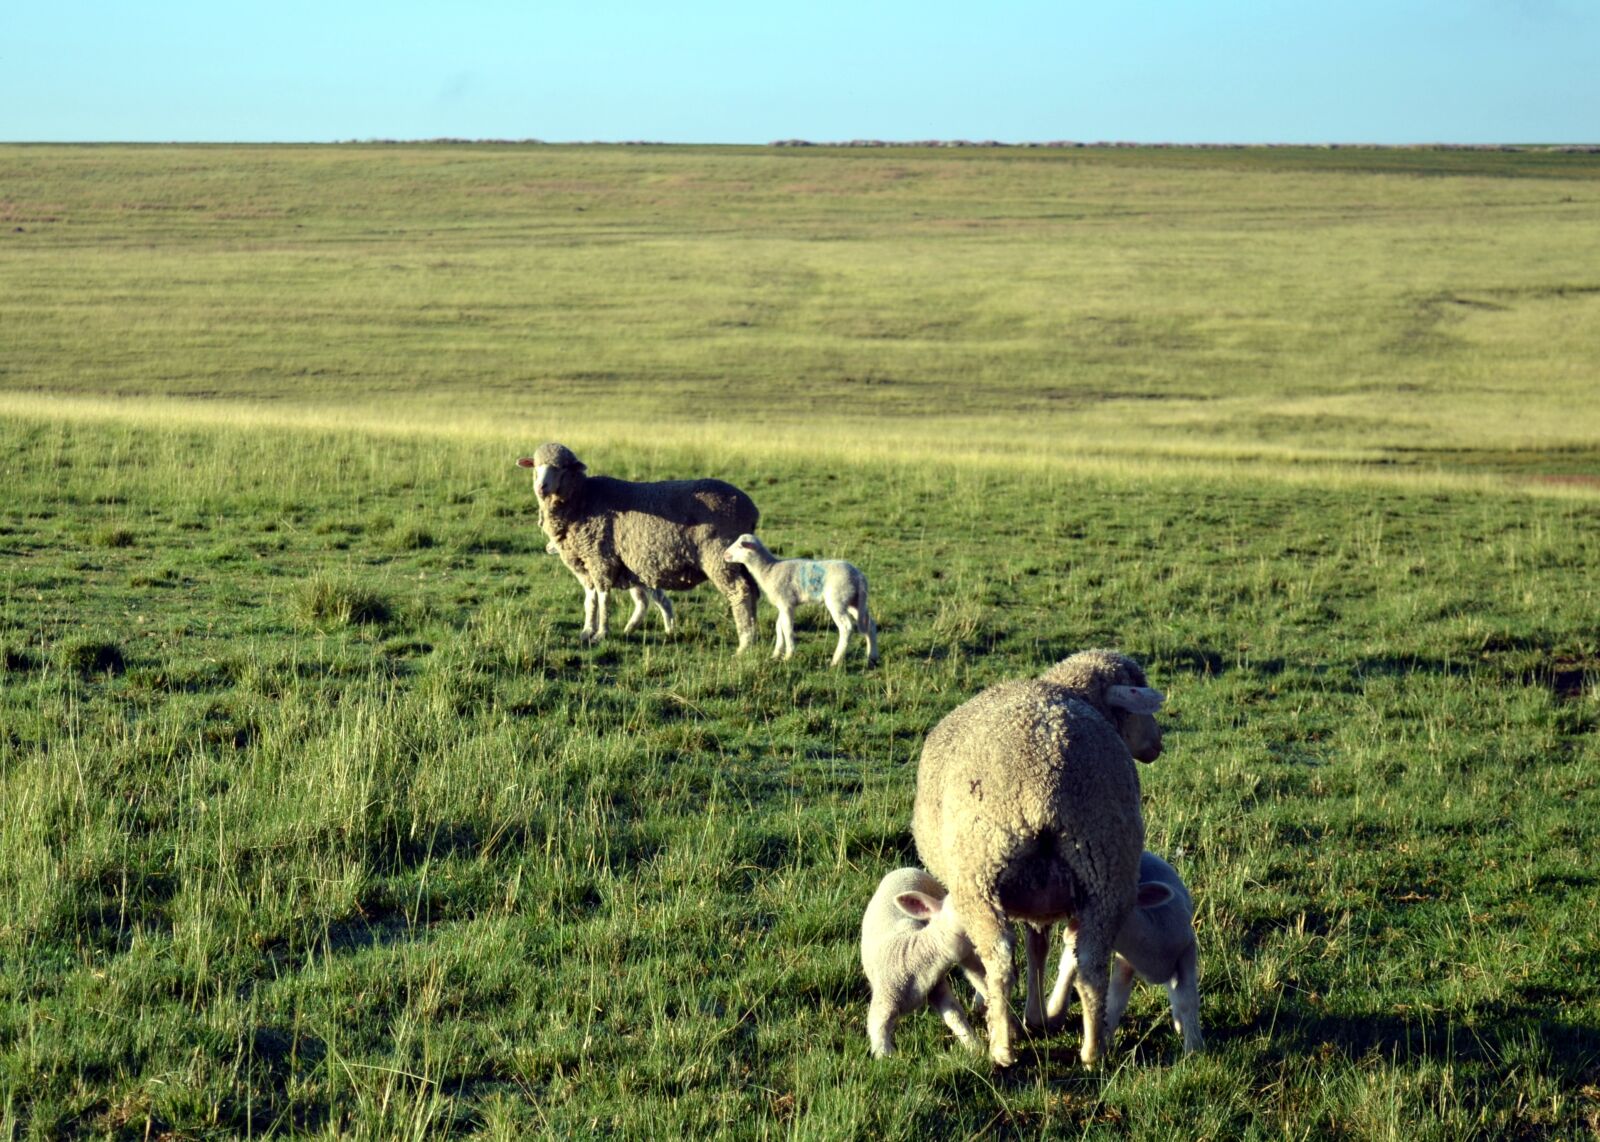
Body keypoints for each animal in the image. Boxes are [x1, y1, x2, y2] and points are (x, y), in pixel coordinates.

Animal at [517, 443, 760, 650]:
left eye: (561, 468)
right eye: (536, 466)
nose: (541, 487)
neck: (583, 498)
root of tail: (750, 507)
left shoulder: (601, 558)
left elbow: (604, 599)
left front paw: (601, 634)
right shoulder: (584, 564)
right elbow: (590, 600)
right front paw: (586, 631)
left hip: (718, 555)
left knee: (740, 592)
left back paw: (745, 643)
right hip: (739, 558)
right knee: (753, 591)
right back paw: (752, 634)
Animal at [720, 533, 878, 667]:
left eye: (740, 546)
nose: (725, 555)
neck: (768, 570)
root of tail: (859, 577)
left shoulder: (786, 602)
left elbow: (787, 628)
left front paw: (788, 656)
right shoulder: (784, 605)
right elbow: (779, 627)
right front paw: (776, 654)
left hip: (837, 599)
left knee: (846, 627)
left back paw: (836, 660)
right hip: (854, 601)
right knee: (869, 624)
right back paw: (872, 657)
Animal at [860, 867, 987, 1058]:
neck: (912, 956)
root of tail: (905, 869)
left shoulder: (936, 986)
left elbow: (955, 1015)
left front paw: (974, 1046)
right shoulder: (884, 1000)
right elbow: (879, 1032)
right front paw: (888, 1059)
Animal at [911, 648, 1167, 1067]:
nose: (1158, 744)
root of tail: (1044, 786)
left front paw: (1019, 1016)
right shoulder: (1044, 898)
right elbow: (1040, 946)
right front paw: (1038, 1016)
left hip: (978, 875)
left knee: (1000, 960)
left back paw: (1003, 1046)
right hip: (1107, 868)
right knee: (1091, 965)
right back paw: (1092, 1049)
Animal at [1046, 850, 1203, 1055]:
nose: (1070, 932)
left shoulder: (1187, 949)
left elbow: (1187, 999)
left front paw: (1194, 1048)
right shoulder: (1125, 960)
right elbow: (1115, 1000)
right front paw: (1104, 1041)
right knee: (1067, 964)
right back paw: (1054, 1010)